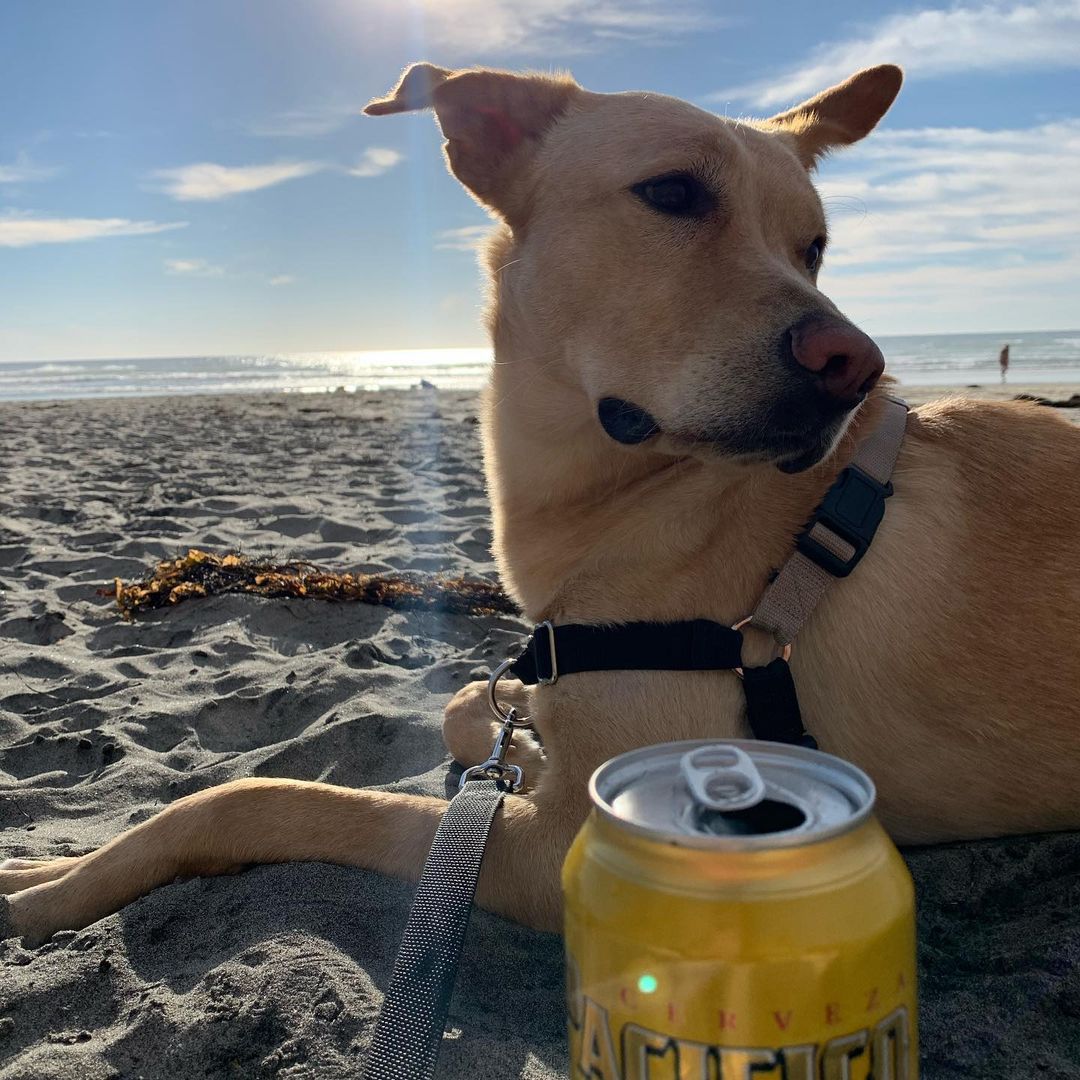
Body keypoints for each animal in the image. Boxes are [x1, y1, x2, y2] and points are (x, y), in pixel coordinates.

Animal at [2, 61, 1080, 946]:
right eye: (673, 192)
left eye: (812, 245)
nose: (854, 365)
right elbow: (469, 707)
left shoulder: (583, 844)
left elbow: (254, 799)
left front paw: (55, 883)